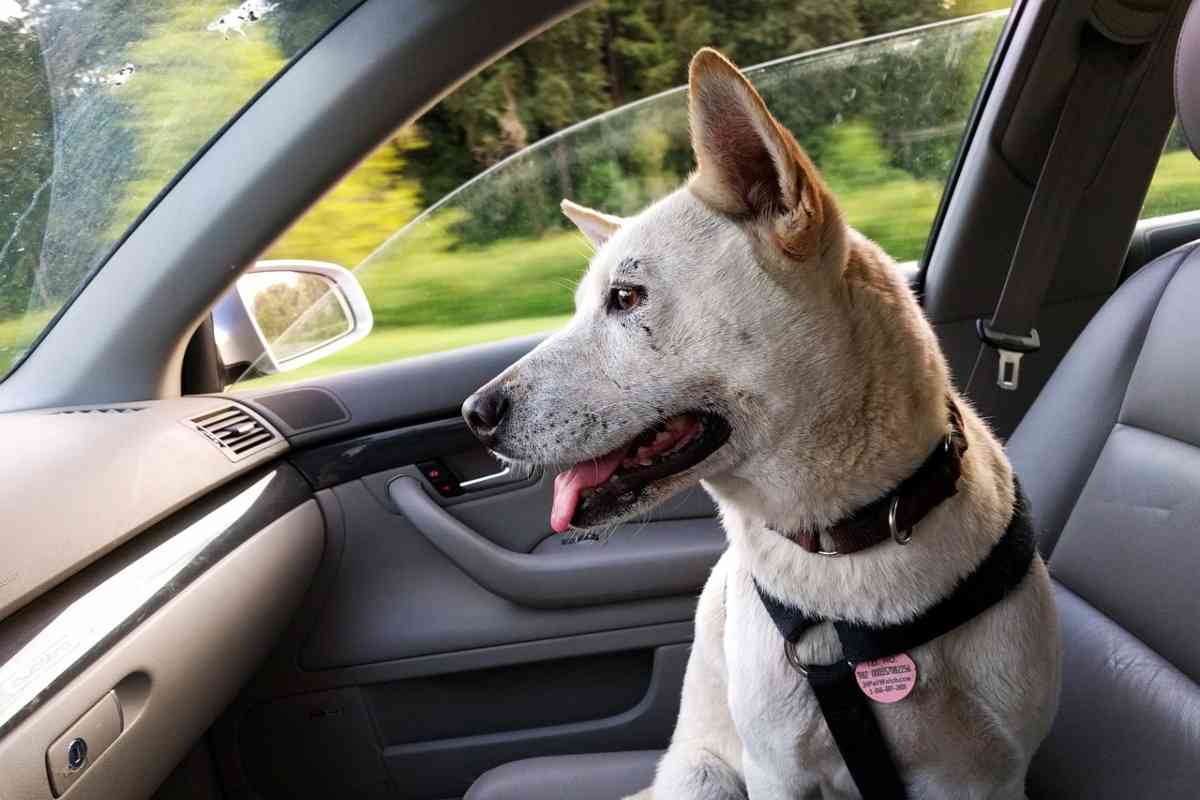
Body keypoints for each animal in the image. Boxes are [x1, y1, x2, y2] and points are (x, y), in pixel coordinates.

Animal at [463, 48, 1065, 796]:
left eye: (625, 297)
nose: (474, 414)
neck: (849, 548)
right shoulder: (780, 769)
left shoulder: (992, 776)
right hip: (706, 777)